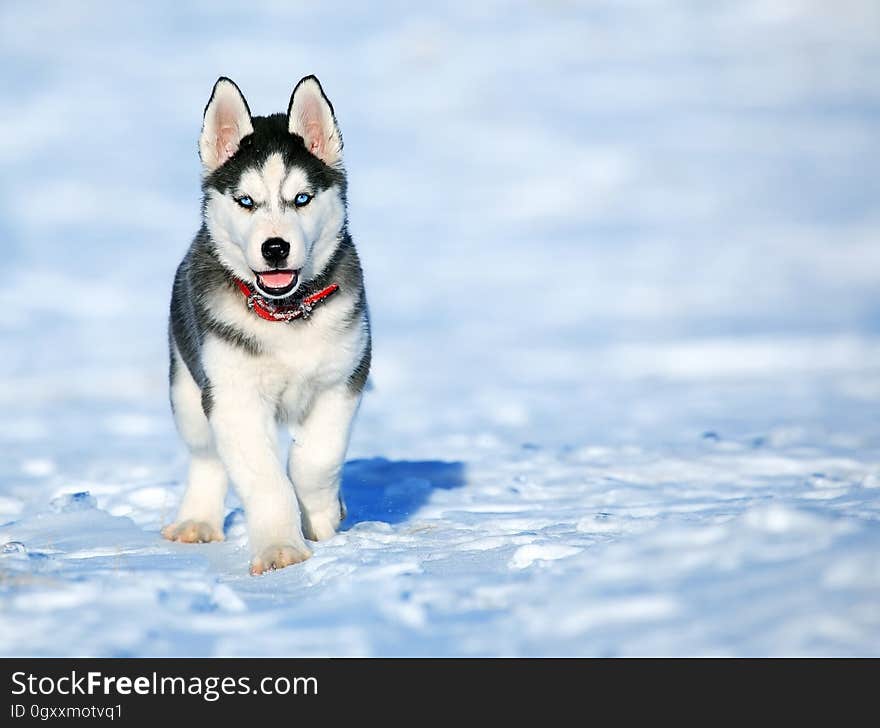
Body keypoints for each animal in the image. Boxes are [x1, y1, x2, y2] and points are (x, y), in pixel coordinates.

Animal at [163, 75, 370, 576]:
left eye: (301, 199)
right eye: (246, 201)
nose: (275, 247)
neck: (285, 314)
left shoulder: (343, 379)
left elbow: (316, 459)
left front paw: (322, 515)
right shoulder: (233, 397)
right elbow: (264, 477)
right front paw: (281, 548)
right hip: (187, 388)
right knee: (206, 456)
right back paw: (196, 521)